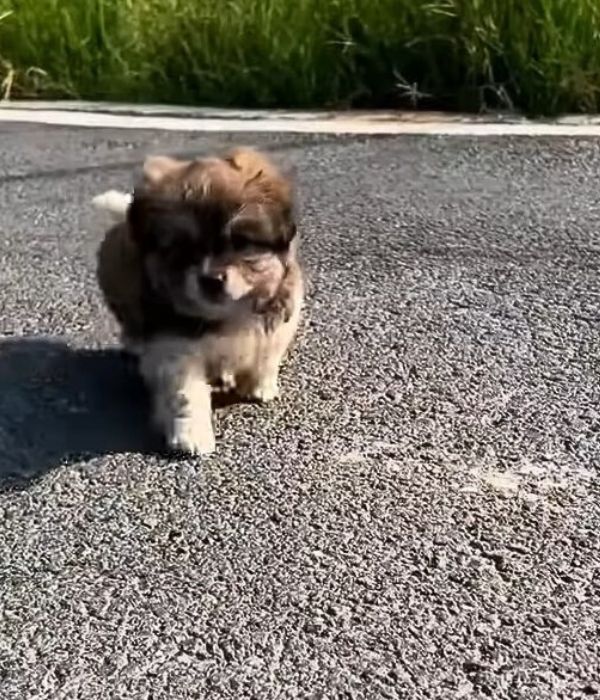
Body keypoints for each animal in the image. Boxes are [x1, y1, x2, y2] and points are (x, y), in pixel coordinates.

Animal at [98, 146, 304, 460]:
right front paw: (190, 435)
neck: (227, 315)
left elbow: (267, 356)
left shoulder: (278, 320)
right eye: (182, 248)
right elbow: (185, 393)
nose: (211, 279)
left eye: (240, 242)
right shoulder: (173, 346)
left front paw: (260, 385)